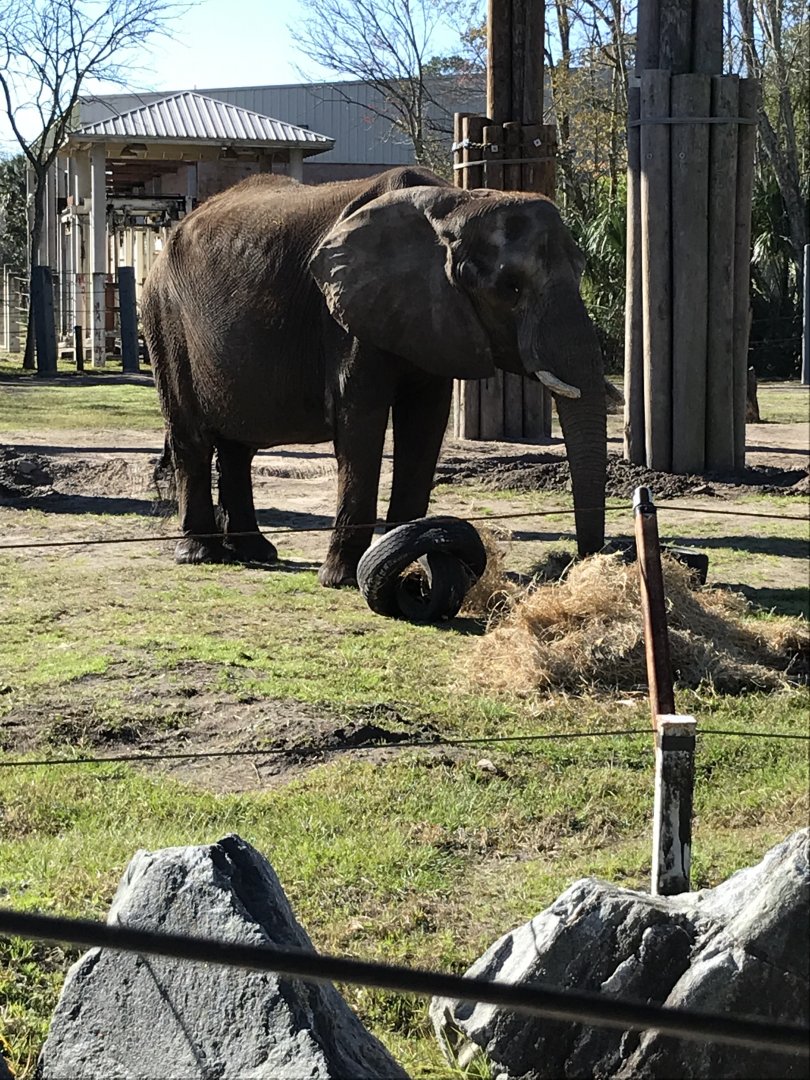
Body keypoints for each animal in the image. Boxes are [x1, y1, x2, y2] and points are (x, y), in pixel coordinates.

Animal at [142, 166, 607, 587]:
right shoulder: (346, 319)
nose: (576, 563)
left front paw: (414, 560)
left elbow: (425, 423)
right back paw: (200, 554)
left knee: (238, 446)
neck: (456, 204)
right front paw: (343, 578)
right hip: (165, 318)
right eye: (511, 288)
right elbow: (359, 421)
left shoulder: (432, 319)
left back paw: (255, 551)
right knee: (192, 436)